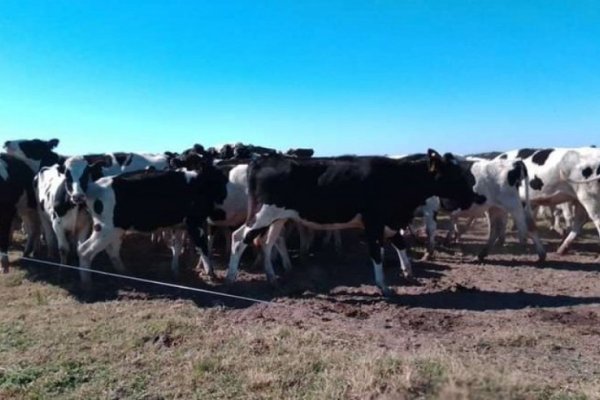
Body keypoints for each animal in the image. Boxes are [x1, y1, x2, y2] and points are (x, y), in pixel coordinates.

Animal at [227, 148, 486, 296]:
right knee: (240, 237)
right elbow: (376, 254)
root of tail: (261, 161)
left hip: (278, 217)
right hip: (262, 214)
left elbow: (401, 245)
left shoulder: (390, 222)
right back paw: (230, 278)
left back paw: (272, 278)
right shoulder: (373, 223)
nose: (478, 197)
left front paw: (408, 273)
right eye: (454, 175)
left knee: (267, 242)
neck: (398, 179)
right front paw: (383, 286)